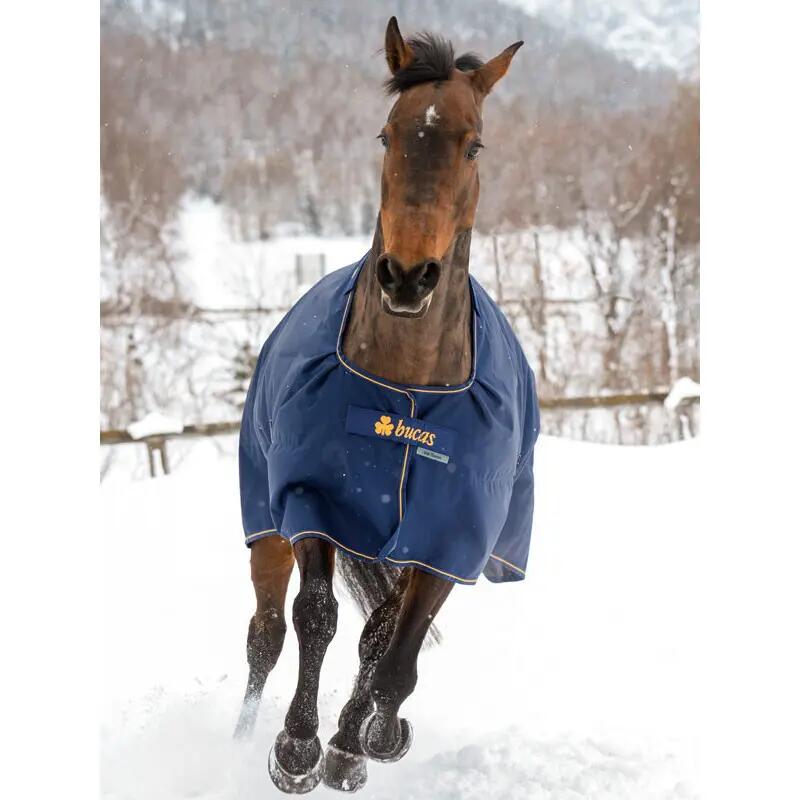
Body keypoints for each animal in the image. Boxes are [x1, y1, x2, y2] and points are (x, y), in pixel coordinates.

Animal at [233, 17, 538, 794]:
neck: (410, 391)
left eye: (474, 143)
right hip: (264, 520)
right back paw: (241, 741)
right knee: (265, 635)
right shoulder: (312, 500)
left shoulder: (449, 536)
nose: (405, 276)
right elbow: (315, 617)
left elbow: (393, 651)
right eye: (387, 134)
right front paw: (296, 749)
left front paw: (361, 742)